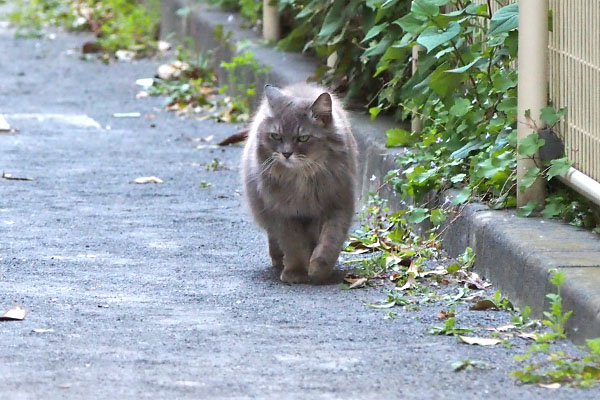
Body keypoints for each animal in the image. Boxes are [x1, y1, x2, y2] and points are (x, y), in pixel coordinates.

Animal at [243, 83, 356, 284]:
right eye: (276, 136)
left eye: (303, 138)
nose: (286, 153)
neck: (302, 178)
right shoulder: (283, 214)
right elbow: (294, 245)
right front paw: (296, 272)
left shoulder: (338, 206)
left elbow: (330, 242)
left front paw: (319, 271)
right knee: (275, 239)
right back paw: (278, 261)